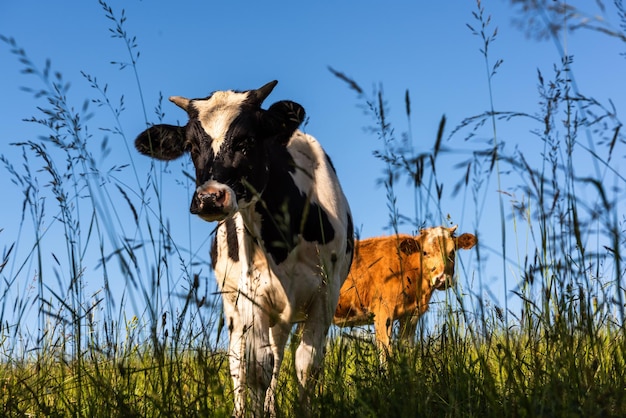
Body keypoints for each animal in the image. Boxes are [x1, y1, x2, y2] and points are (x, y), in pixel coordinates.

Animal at [134, 80, 354, 416]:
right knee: (239, 360)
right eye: (192, 147)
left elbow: (306, 366)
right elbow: (255, 367)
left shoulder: (326, 294)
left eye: (247, 141)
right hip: (233, 304)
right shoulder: (252, 292)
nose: (209, 198)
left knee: (278, 354)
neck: (283, 239)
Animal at [334, 227, 476, 358]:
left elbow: (408, 350)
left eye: (452, 252)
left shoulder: (411, 315)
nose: (442, 279)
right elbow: (385, 352)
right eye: (425, 252)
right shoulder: (382, 312)